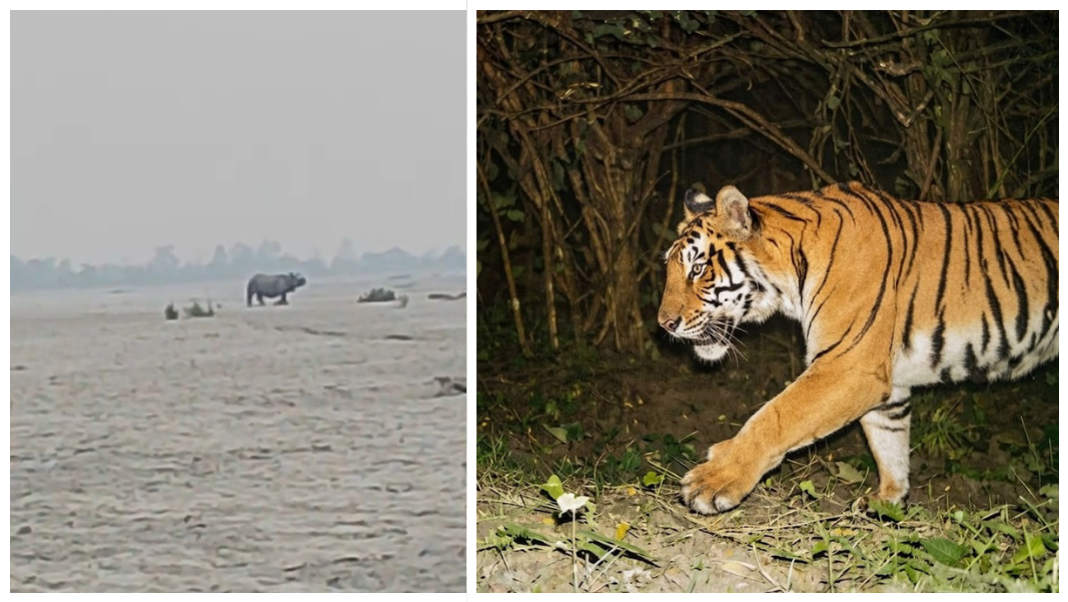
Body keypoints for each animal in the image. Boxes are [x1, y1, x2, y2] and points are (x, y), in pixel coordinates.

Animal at [657, 181, 1058, 515]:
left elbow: (776, 416)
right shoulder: (885, 382)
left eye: (697, 269)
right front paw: (888, 502)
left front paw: (714, 480)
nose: (664, 324)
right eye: (672, 269)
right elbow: (889, 442)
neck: (791, 275)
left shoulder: (846, 365)